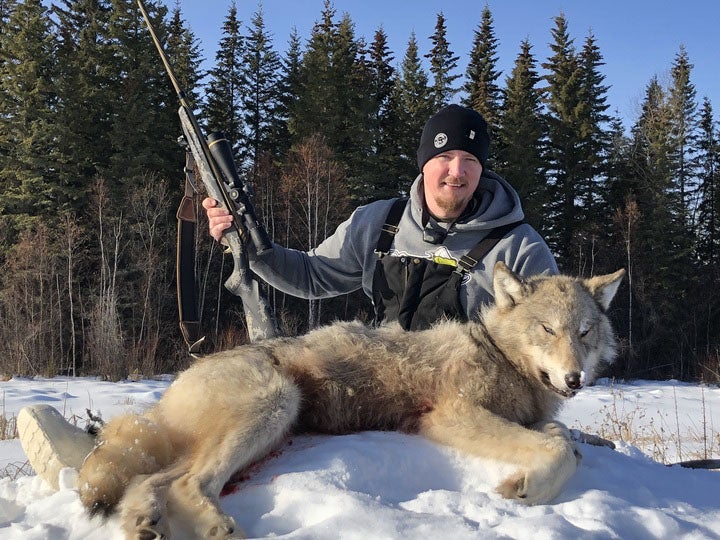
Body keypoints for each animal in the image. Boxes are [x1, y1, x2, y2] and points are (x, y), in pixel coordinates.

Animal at [77, 262, 624, 539]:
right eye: (547, 329)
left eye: (584, 332)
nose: (575, 379)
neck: (500, 357)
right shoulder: (449, 415)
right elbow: (559, 450)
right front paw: (524, 488)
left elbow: (563, 440)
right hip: (276, 405)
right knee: (188, 482)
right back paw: (214, 527)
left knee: (152, 480)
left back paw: (143, 524)